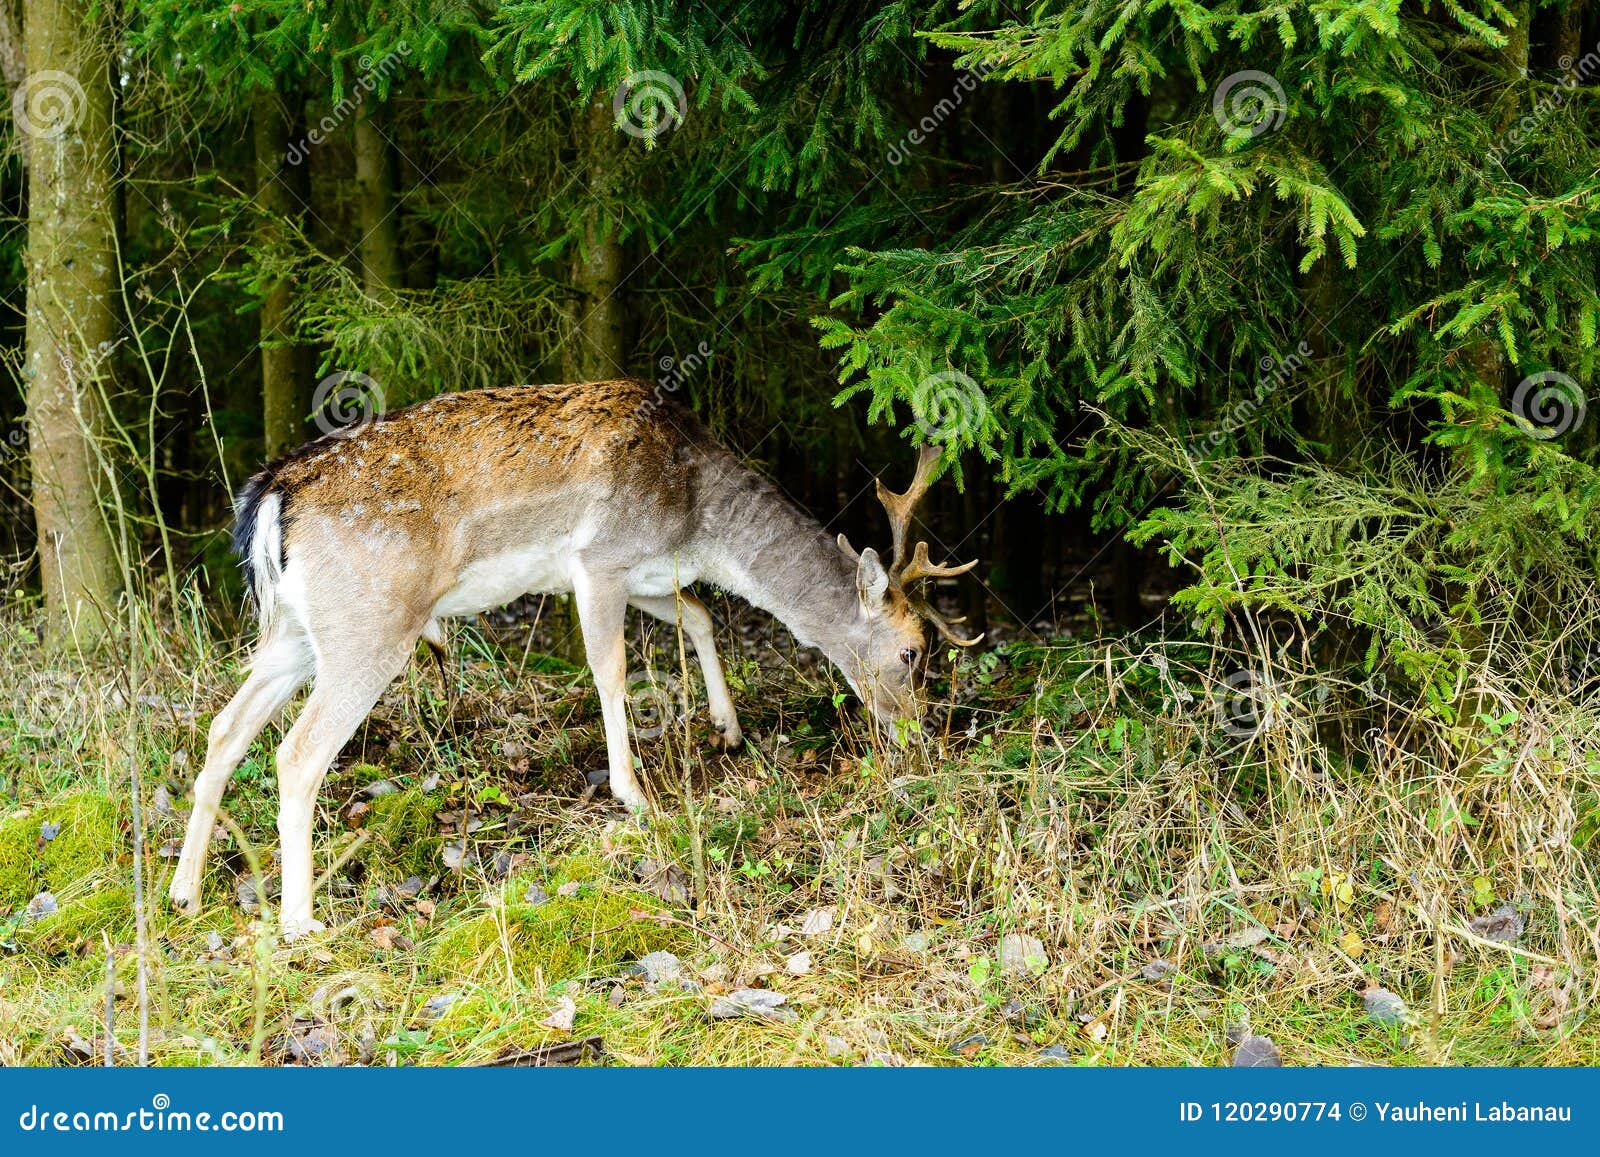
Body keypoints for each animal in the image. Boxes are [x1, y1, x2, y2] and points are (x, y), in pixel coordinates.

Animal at [167, 379, 980, 936]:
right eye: (912, 652)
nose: (921, 737)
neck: (696, 519)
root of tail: (273, 495)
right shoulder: (600, 560)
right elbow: (611, 668)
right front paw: (634, 793)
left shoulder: (648, 572)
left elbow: (701, 614)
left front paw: (728, 727)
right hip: (370, 624)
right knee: (296, 752)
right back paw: (300, 921)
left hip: (293, 633)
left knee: (224, 729)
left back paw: (184, 891)